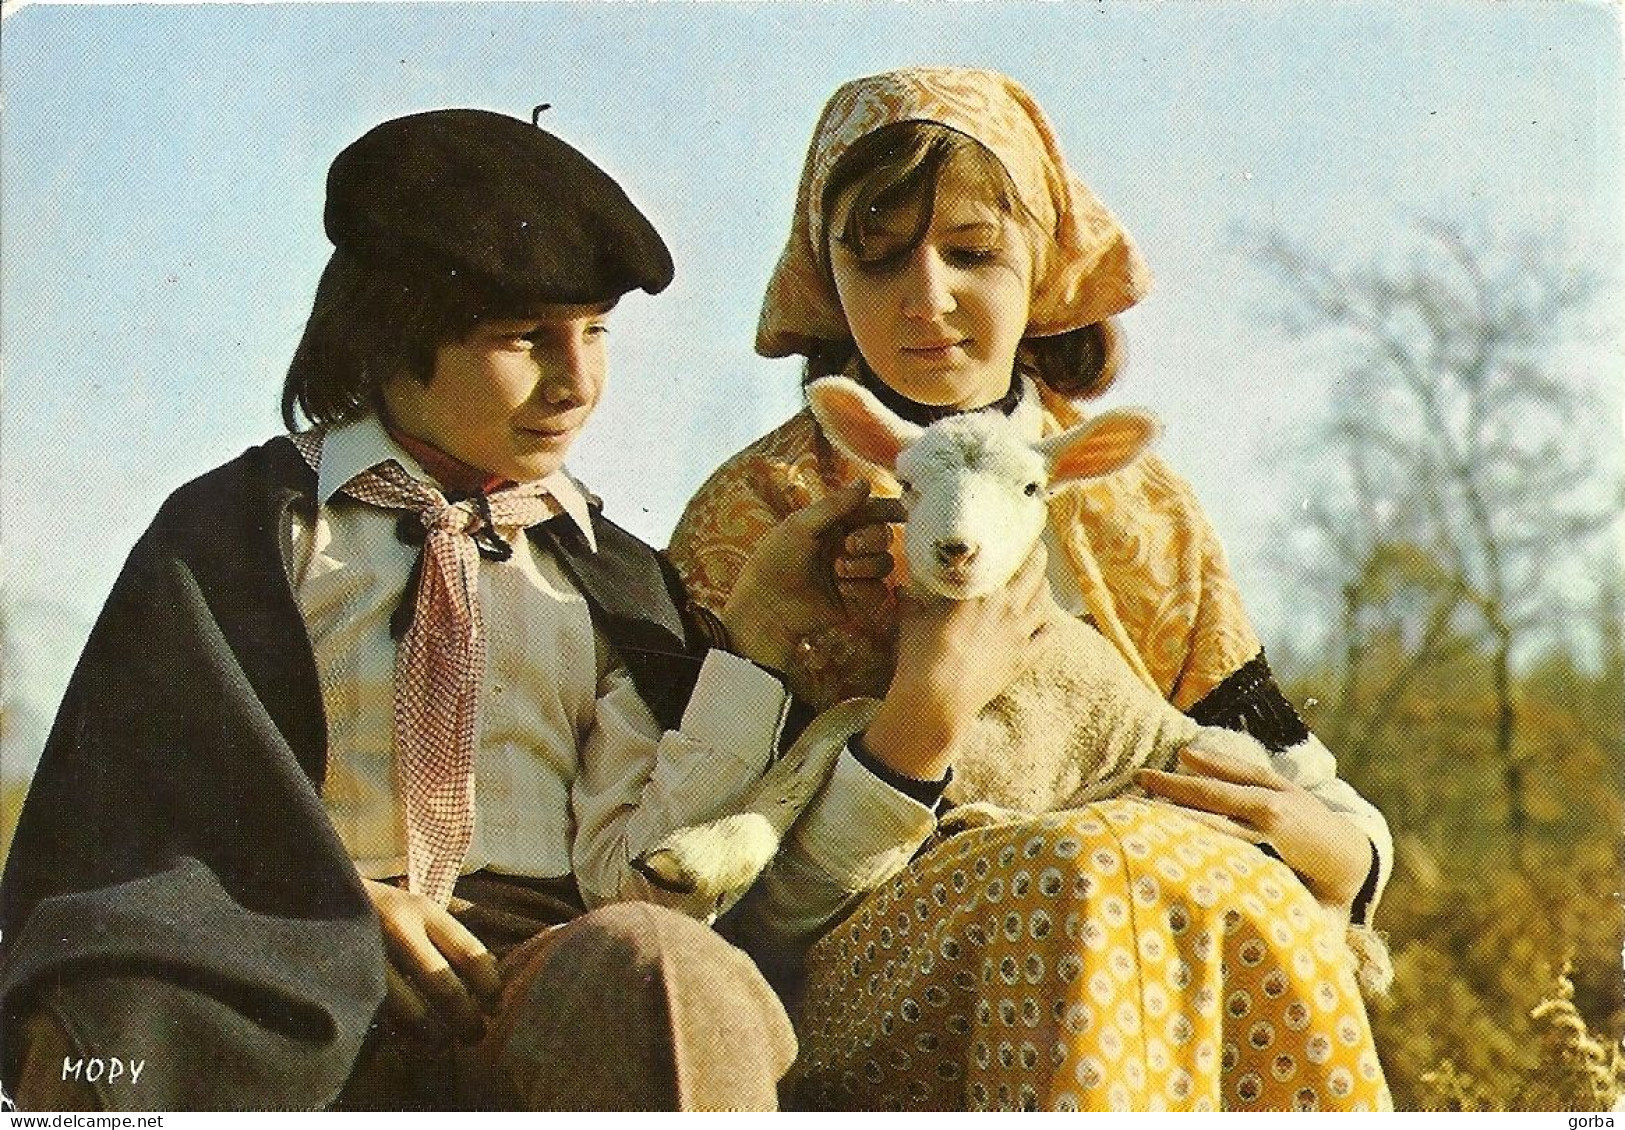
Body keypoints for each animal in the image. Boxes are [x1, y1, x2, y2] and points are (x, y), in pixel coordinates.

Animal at [633, 375, 1332, 923]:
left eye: (1031, 489)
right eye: (907, 484)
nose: (956, 550)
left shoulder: (1032, 750)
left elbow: (851, 710)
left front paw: (714, 847)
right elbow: (833, 722)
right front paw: (704, 851)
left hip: (1214, 757)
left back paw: (983, 818)